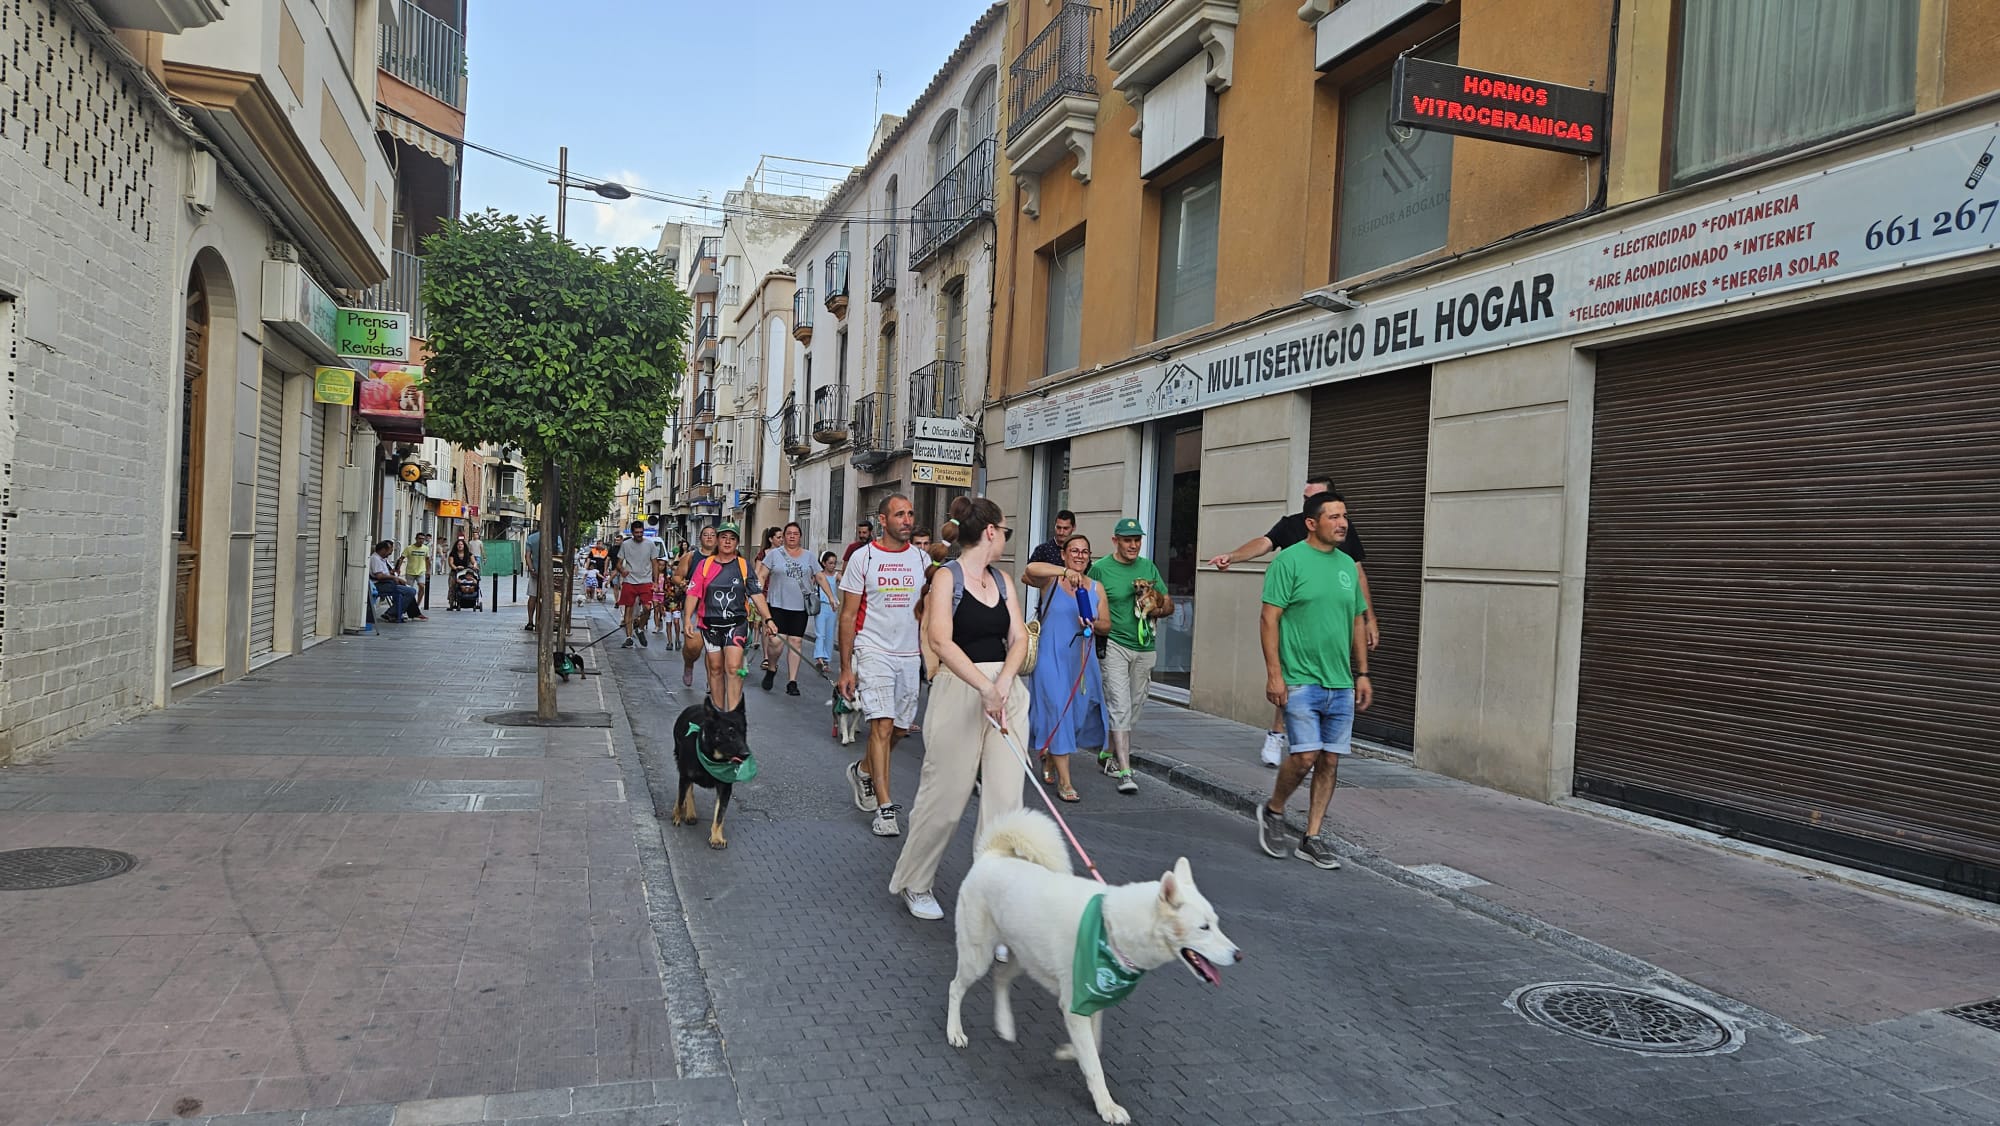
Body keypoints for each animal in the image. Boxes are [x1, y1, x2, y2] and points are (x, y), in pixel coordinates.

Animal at [672, 700, 752, 852]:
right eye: (730, 733)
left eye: (744, 732)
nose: (746, 754)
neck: (713, 758)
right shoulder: (685, 776)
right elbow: (680, 799)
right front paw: (676, 817)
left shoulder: (725, 788)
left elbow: (720, 814)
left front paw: (716, 838)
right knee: (687, 791)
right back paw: (688, 812)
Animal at [948, 812, 1240, 1120]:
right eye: (1204, 927)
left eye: (1216, 923)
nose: (1238, 955)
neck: (1111, 929)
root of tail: (990, 855)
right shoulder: (1075, 1004)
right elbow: (1094, 1065)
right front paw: (1106, 1106)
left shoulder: (1092, 998)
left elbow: (1094, 1046)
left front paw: (1070, 1052)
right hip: (977, 956)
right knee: (956, 988)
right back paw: (955, 1032)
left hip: (1025, 957)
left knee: (1001, 977)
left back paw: (1004, 1026)